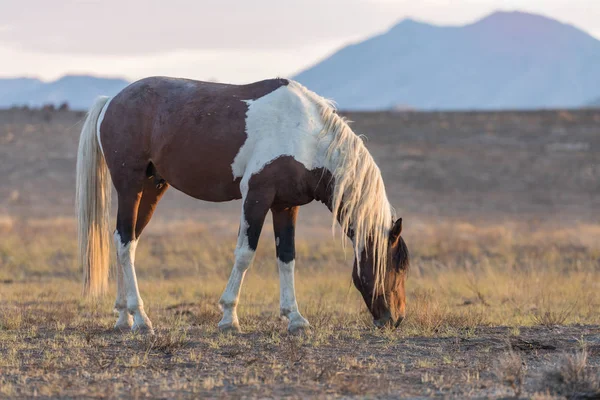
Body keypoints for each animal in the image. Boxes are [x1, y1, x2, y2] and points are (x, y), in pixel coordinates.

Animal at [76, 76, 408, 332]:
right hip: (130, 186)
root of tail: (111, 101)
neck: (305, 136)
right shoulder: (257, 197)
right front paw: (229, 317)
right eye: (398, 266)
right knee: (124, 243)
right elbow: (245, 254)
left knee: (126, 241)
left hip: (151, 188)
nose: (396, 319)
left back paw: (124, 317)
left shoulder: (285, 206)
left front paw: (295, 318)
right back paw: (141, 318)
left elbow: (287, 257)